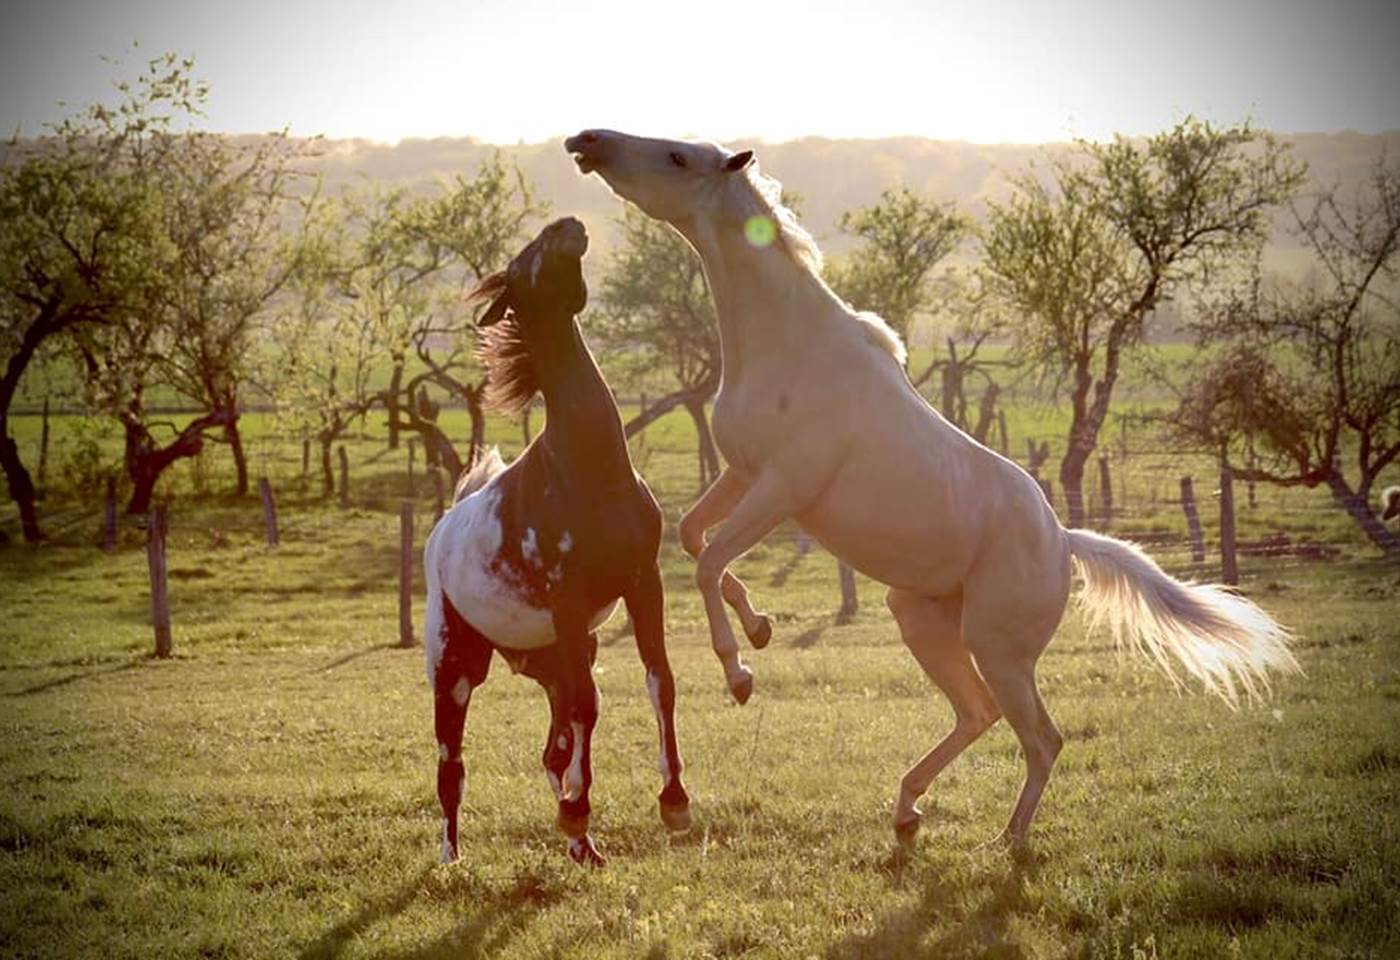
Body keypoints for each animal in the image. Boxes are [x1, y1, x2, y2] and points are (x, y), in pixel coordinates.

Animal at [423, 216, 688, 867]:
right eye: (525, 258)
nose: (569, 225)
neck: (588, 469)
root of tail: (442, 532)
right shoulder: (569, 601)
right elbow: (590, 707)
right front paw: (579, 810)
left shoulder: (644, 583)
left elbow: (658, 682)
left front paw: (674, 803)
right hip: (456, 667)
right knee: (452, 764)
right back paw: (452, 857)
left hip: (550, 658)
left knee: (556, 743)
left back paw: (580, 841)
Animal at [563, 130, 1299, 845]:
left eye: (677, 157)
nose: (586, 141)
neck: (790, 346)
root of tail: (1065, 540)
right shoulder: (741, 473)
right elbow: (694, 538)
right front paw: (762, 627)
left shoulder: (782, 489)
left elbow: (710, 559)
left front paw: (741, 674)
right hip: (923, 622)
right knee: (977, 714)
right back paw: (907, 811)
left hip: (999, 648)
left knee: (1041, 736)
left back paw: (1008, 841)